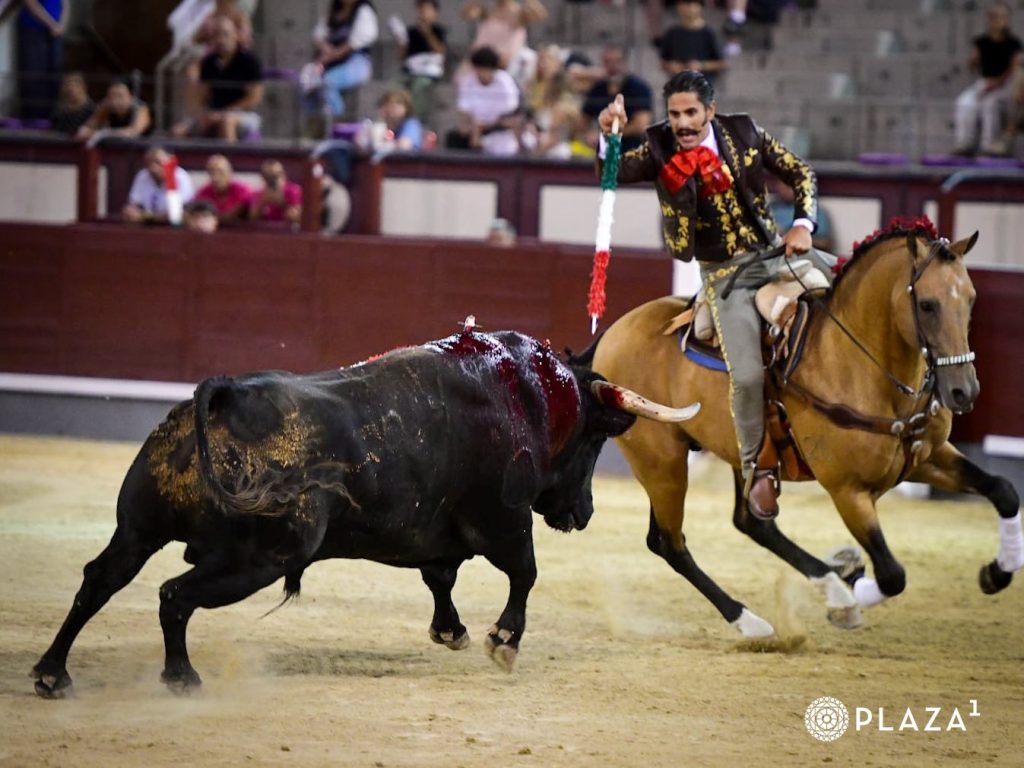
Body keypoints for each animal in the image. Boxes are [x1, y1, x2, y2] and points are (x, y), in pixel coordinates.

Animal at [584, 220, 1023, 638]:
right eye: (927, 305)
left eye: (970, 299)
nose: (964, 391)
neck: (858, 364)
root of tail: (613, 333)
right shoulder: (847, 491)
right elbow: (891, 574)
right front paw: (851, 594)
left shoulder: (926, 458)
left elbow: (1003, 489)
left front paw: (997, 572)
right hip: (662, 463)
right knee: (671, 543)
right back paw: (755, 620)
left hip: (740, 455)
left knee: (751, 522)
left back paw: (830, 580)